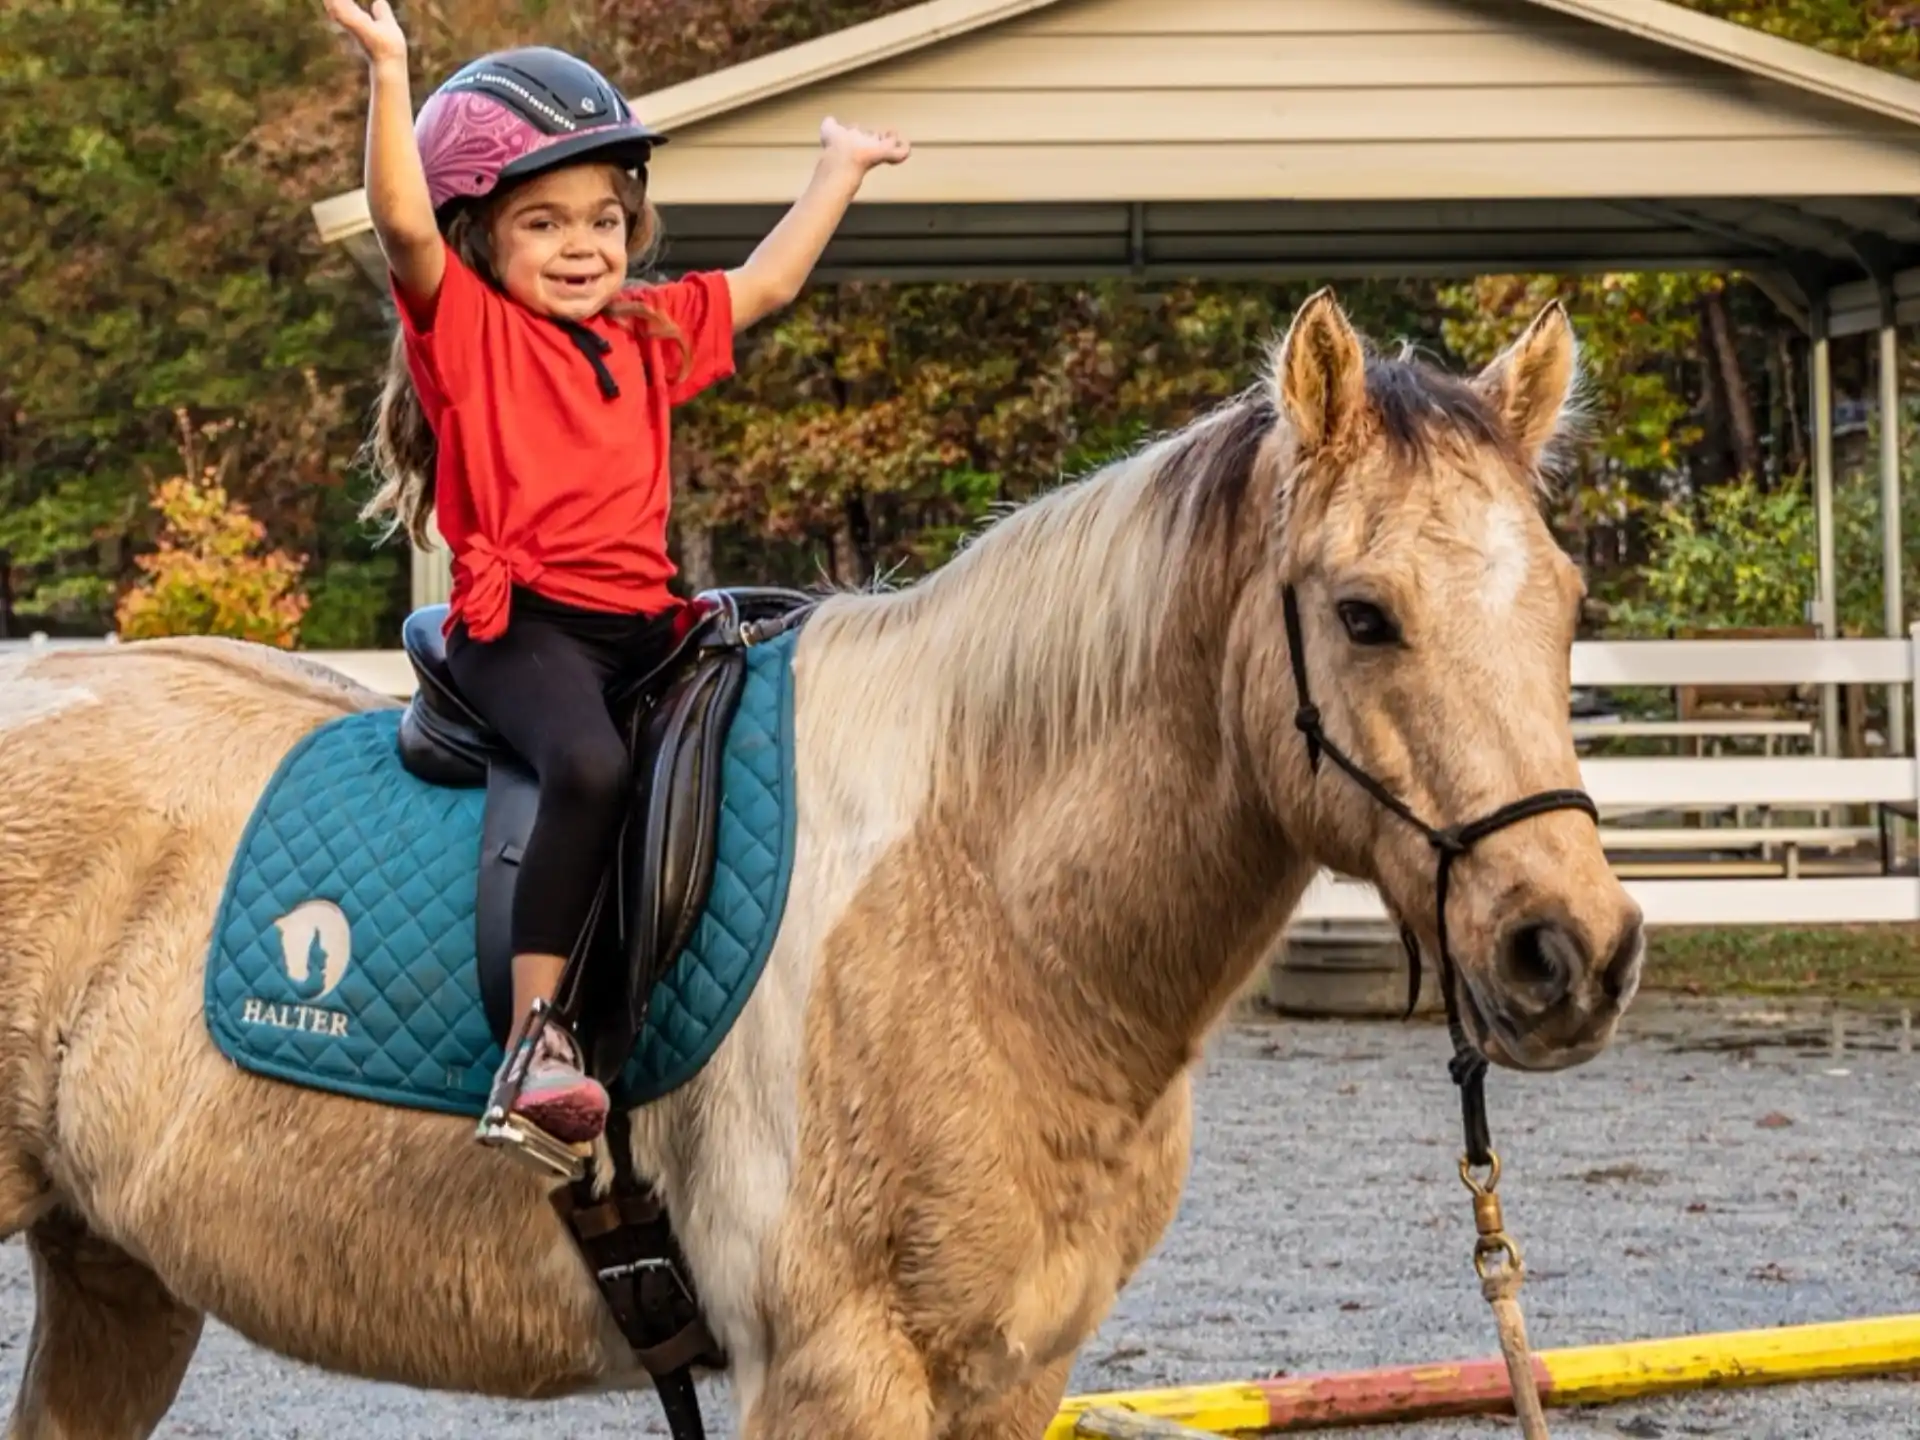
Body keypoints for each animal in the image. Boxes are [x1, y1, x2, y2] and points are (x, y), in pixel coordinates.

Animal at [0, 288, 1643, 1439]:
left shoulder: (1012, 1376)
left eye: (1567, 603)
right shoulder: (833, 1376)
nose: (1572, 948)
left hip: (116, 1277)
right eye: (1364, 614)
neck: (981, 910)